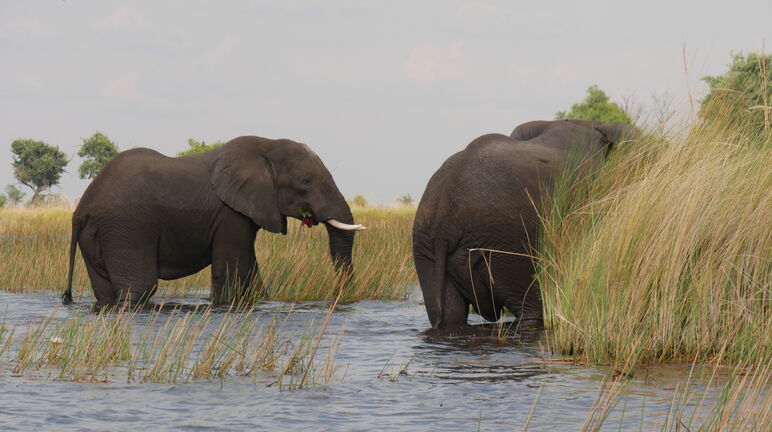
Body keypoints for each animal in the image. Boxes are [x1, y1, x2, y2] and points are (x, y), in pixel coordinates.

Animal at [61, 135, 366, 308]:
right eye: (305, 181)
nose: (340, 296)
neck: (264, 146)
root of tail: (82, 209)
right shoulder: (229, 213)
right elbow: (232, 270)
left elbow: (251, 272)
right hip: (126, 228)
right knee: (139, 286)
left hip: (99, 234)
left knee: (104, 290)